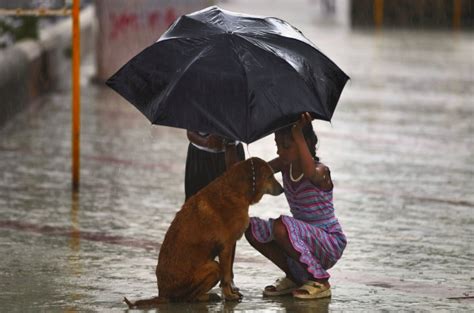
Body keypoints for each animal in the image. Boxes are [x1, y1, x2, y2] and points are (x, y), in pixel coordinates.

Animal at [124, 156, 284, 308]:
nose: (282, 189)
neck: (236, 190)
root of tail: (162, 295)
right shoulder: (226, 247)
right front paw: (229, 296)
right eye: (270, 176)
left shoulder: (229, 247)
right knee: (187, 298)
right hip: (213, 267)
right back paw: (208, 297)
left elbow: (228, 275)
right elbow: (226, 277)